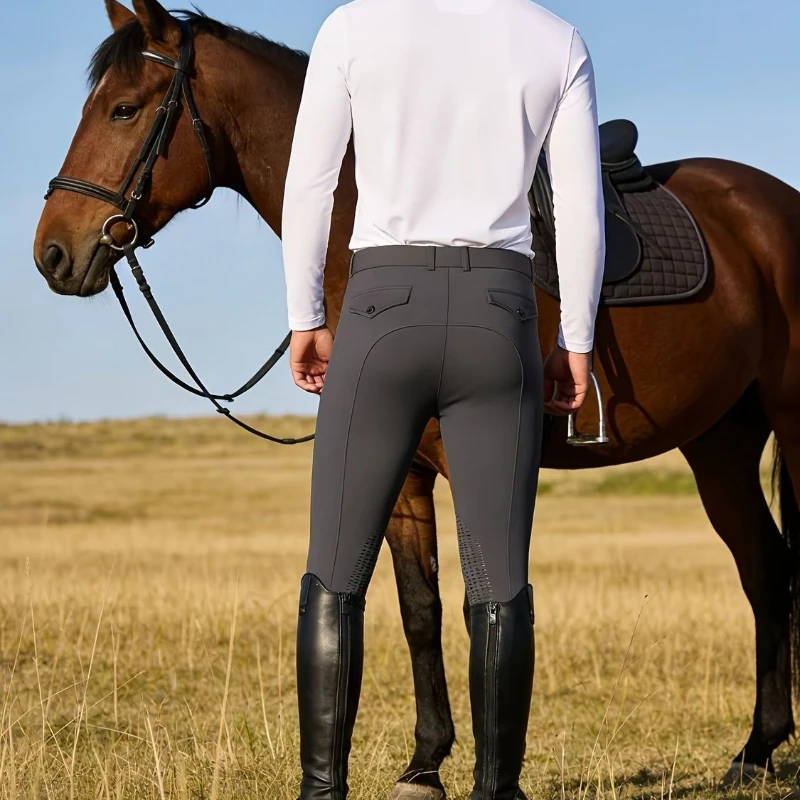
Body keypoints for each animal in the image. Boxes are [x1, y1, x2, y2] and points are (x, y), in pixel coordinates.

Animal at [33, 1, 800, 797]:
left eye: (124, 108)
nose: (53, 252)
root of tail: (771, 204)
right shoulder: (404, 471)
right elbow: (418, 610)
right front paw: (425, 762)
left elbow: (471, 608)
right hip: (720, 444)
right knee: (764, 568)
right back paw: (755, 751)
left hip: (790, 423)